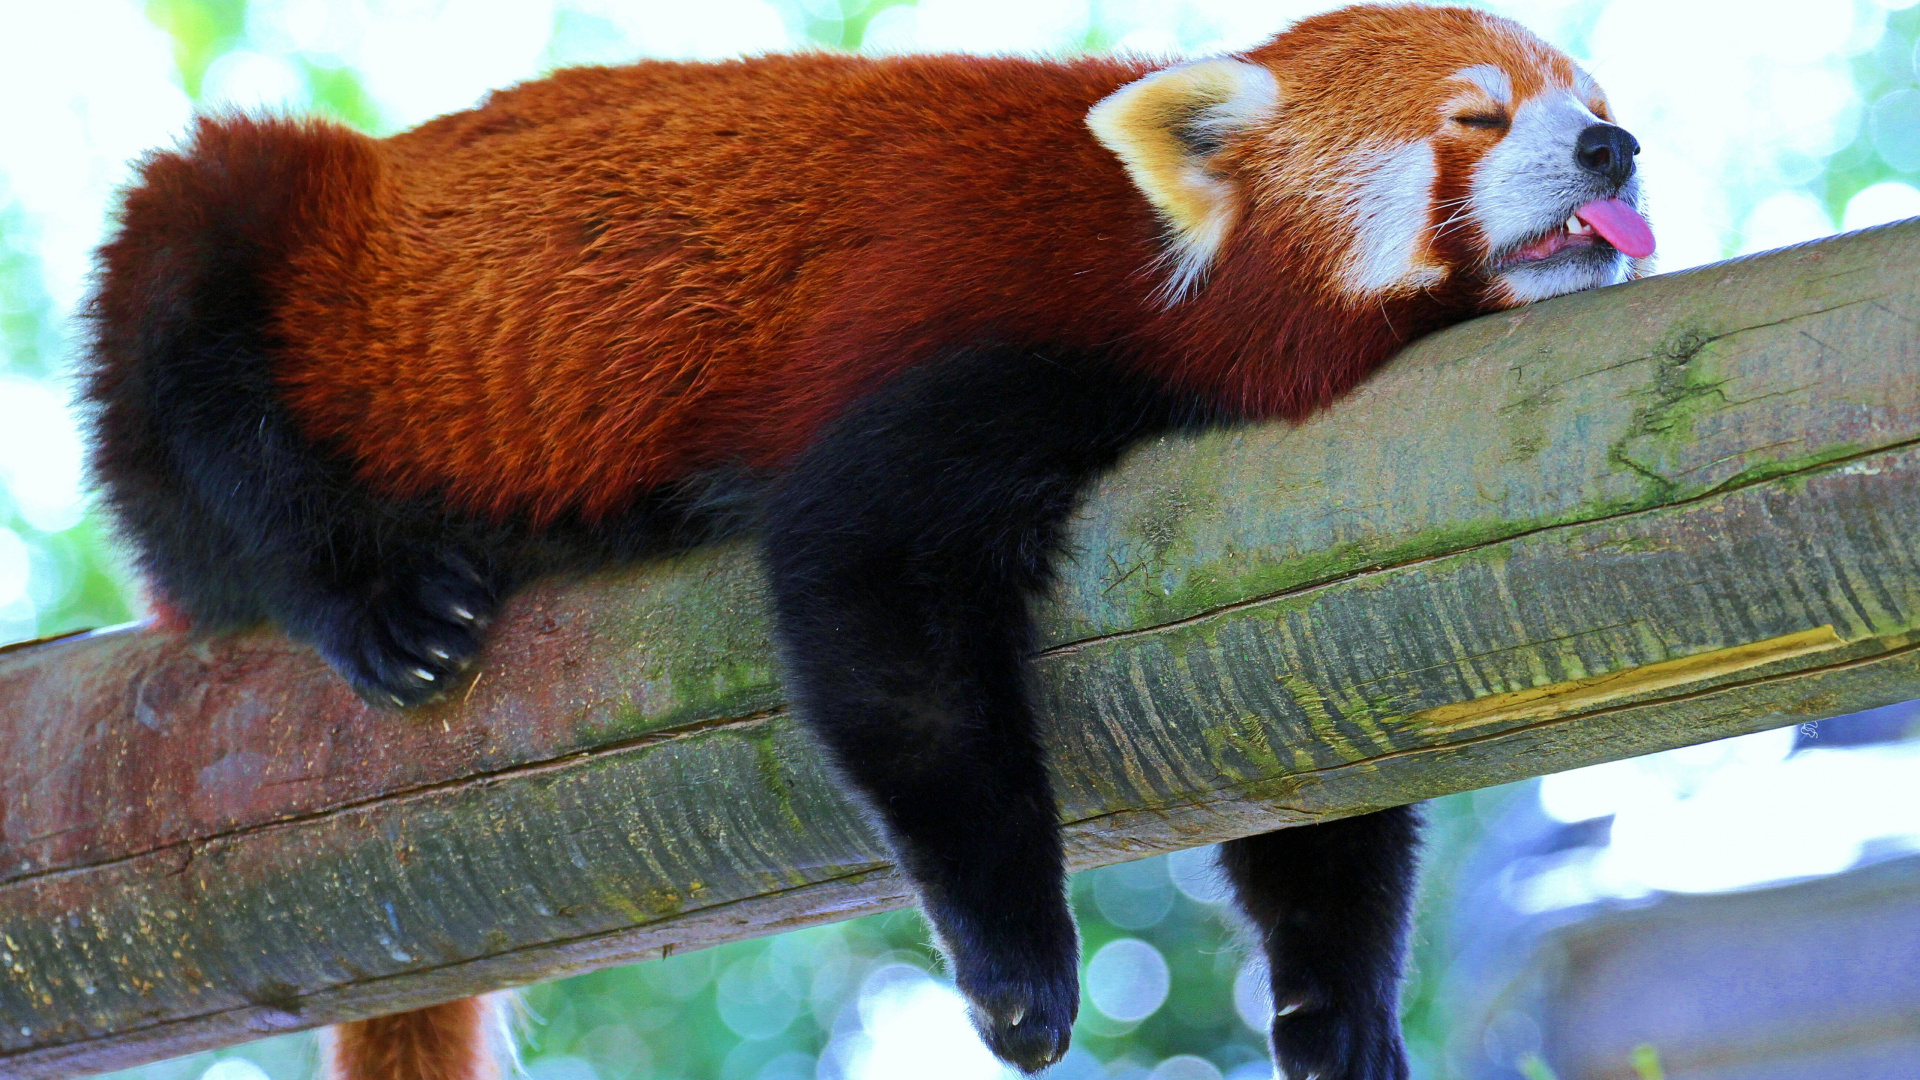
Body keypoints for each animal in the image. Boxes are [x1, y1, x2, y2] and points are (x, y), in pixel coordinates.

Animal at [86, 6, 1651, 1076]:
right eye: (1477, 120)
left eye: (1589, 101)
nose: (1614, 145)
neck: (1150, 254)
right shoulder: (961, 326)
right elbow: (879, 614)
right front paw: (1019, 966)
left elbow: (1307, 749)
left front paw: (1336, 1004)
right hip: (271, 266)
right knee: (197, 330)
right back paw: (366, 590)